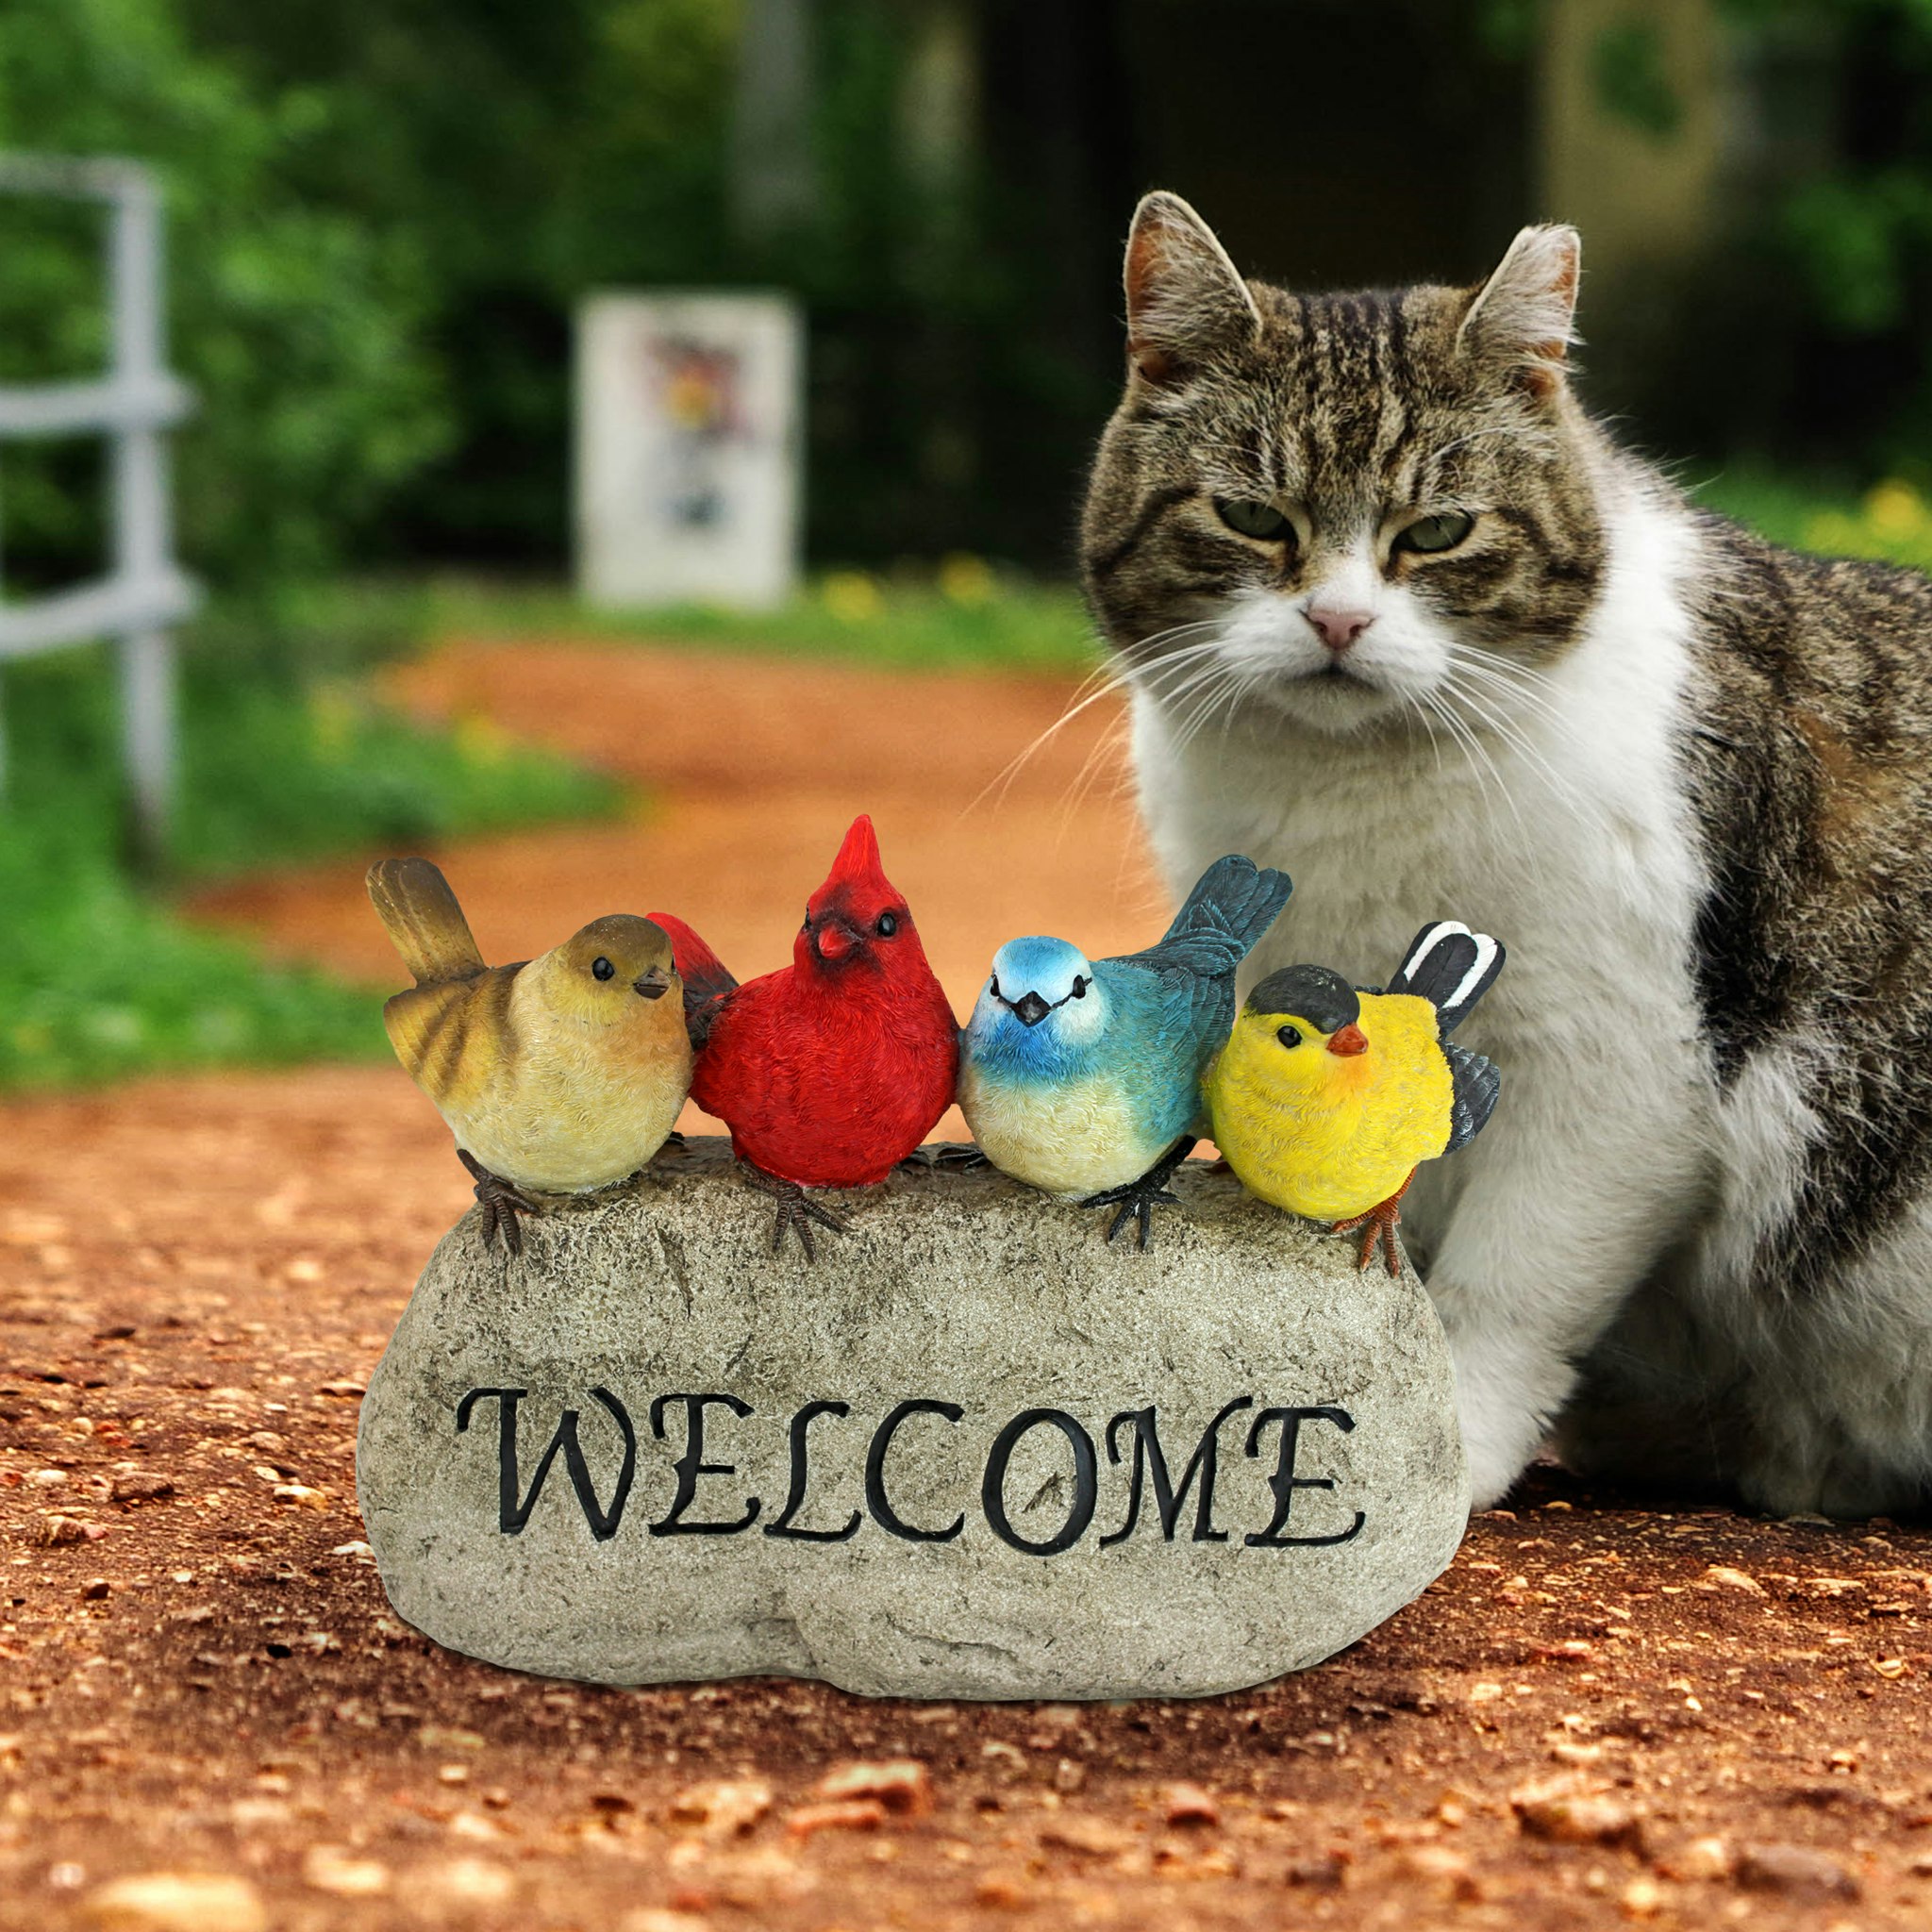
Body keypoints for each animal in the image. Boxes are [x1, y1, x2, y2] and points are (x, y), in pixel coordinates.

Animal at [1081, 192, 1932, 1522]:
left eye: (1435, 532)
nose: (1336, 620)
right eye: (1252, 517)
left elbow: (1497, 1292)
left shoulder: (1619, 1071)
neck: (1351, 793)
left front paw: (1444, 1446)